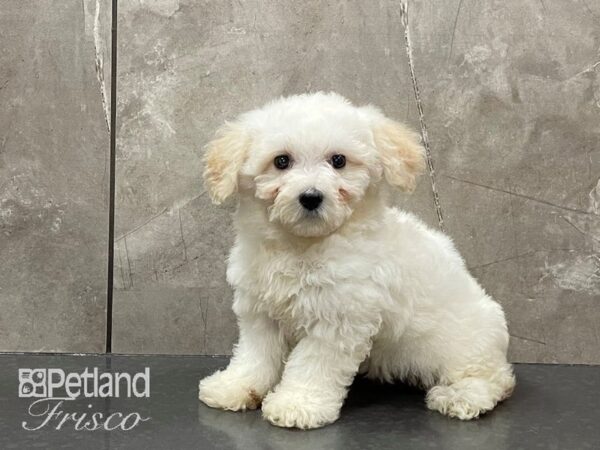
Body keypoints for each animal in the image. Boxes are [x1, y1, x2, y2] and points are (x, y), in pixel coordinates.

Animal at [198, 91, 516, 428]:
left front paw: (298, 404)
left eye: (338, 161)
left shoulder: (337, 320)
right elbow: (255, 355)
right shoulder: (259, 313)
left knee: (495, 378)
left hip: (464, 344)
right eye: (281, 161)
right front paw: (235, 386)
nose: (311, 197)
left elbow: (312, 364)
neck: (302, 245)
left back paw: (461, 397)